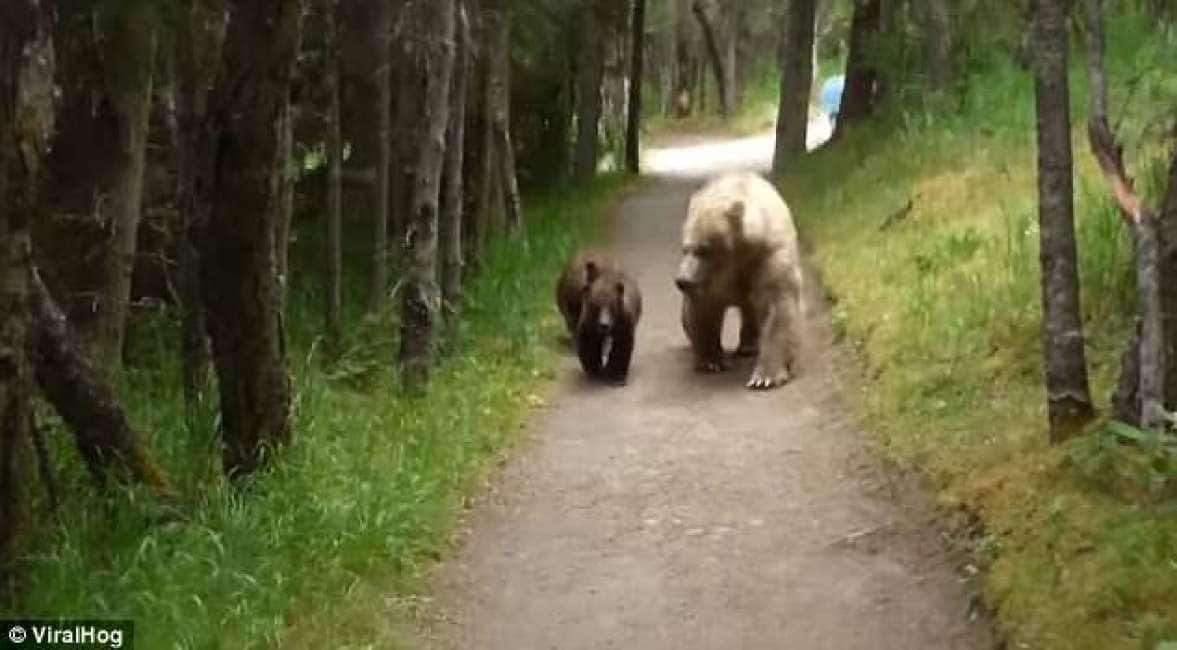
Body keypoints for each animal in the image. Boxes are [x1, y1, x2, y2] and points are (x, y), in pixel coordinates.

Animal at [677, 169, 805, 388]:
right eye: (686, 248)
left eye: (704, 249)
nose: (682, 280)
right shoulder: (709, 279)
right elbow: (703, 309)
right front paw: (711, 362)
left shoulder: (770, 257)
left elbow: (777, 306)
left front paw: (764, 377)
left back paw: (749, 346)